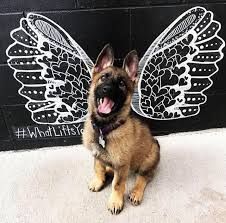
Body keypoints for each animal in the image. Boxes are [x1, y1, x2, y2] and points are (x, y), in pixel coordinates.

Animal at [82, 44, 160, 214]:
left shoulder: (122, 164)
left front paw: (115, 201)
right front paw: (99, 181)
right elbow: (98, 168)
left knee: (143, 177)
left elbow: (118, 184)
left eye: (122, 84)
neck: (104, 128)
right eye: (103, 77)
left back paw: (136, 192)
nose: (106, 89)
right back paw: (108, 171)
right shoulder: (98, 155)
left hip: (150, 158)